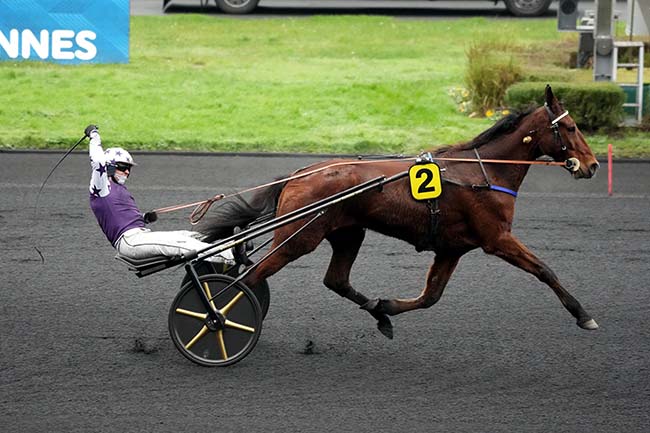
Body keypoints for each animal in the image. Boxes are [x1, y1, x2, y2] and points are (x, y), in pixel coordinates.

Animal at [196, 85, 596, 338]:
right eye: (571, 127)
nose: (592, 166)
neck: (484, 173)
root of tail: (300, 173)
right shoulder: (496, 238)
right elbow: (544, 269)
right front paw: (583, 315)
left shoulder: (452, 248)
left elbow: (431, 296)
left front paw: (385, 307)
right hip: (300, 237)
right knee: (250, 278)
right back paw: (214, 319)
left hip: (347, 232)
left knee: (335, 280)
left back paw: (377, 313)